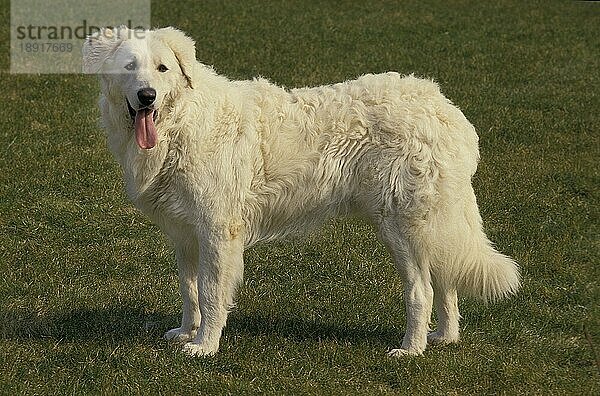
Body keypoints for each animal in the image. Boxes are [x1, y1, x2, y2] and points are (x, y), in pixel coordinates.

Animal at [83, 26, 520, 358]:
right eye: (129, 68)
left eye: (162, 68)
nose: (147, 96)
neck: (181, 122)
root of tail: (446, 108)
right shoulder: (185, 233)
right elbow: (189, 291)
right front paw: (187, 333)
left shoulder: (217, 232)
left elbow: (209, 293)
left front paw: (204, 346)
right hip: (430, 223)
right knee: (445, 278)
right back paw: (443, 337)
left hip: (402, 225)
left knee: (422, 289)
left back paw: (410, 350)